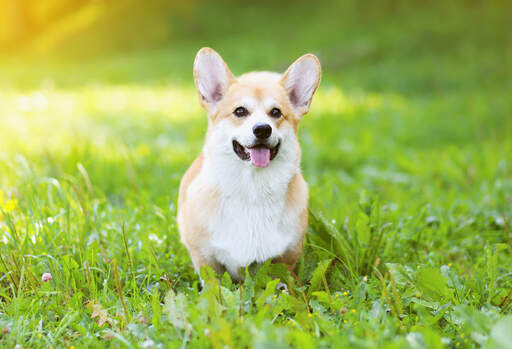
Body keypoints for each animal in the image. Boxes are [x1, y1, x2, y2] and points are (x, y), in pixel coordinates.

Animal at [176, 47, 320, 280]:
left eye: (276, 112)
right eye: (240, 111)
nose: (262, 129)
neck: (252, 188)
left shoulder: (287, 259)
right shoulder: (205, 259)